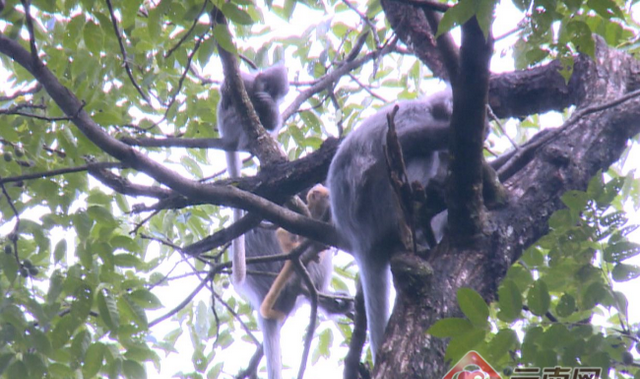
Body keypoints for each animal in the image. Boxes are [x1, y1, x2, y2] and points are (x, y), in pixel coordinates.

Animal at [219, 64, 292, 284]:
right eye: (266, 85)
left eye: (275, 93)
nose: (267, 94)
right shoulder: (246, 84)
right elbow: (228, 84)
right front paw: (226, 94)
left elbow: (272, 122)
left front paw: (267, 104)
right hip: (230, 126)